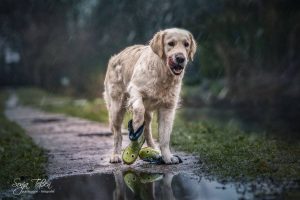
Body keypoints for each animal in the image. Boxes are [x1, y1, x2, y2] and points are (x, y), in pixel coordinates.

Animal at [103, 28, 197, 166]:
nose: (180, 58)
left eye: (186, 44)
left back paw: (153, 150)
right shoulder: (134, 89)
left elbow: (164, 137)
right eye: (171, 43)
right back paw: (115, 155)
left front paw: (167, 157)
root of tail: (116, 56)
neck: (162, 73)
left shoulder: (168, 108)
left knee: (147, 129)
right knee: (117, 134)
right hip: (116, 107)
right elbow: (138, 110)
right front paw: (136, 122)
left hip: (147, 114)